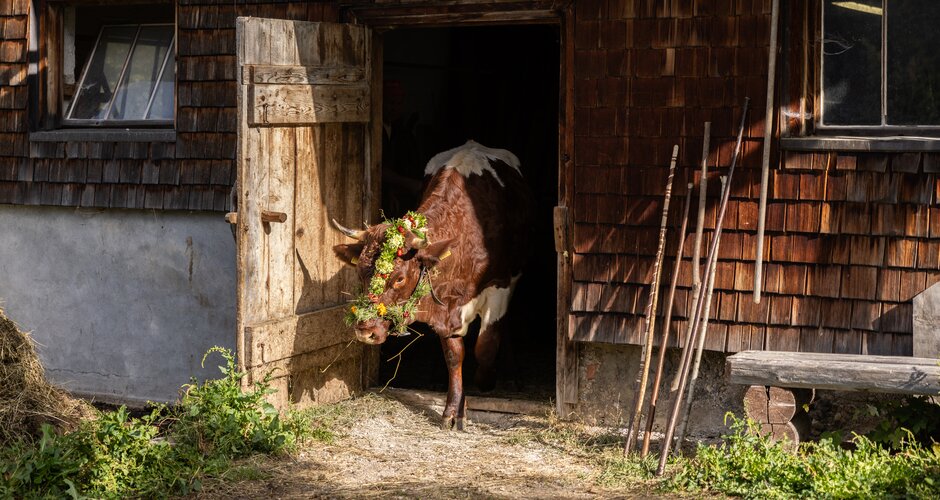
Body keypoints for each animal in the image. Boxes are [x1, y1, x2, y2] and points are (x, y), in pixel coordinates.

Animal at [332, 140, 533, 430]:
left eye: (399, 278)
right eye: (360, 273)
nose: (365, 331)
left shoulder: (500, 287)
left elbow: (485, 347)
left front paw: (485, 382)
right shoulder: (445, 306)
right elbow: (453, 355)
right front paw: (454, 410)